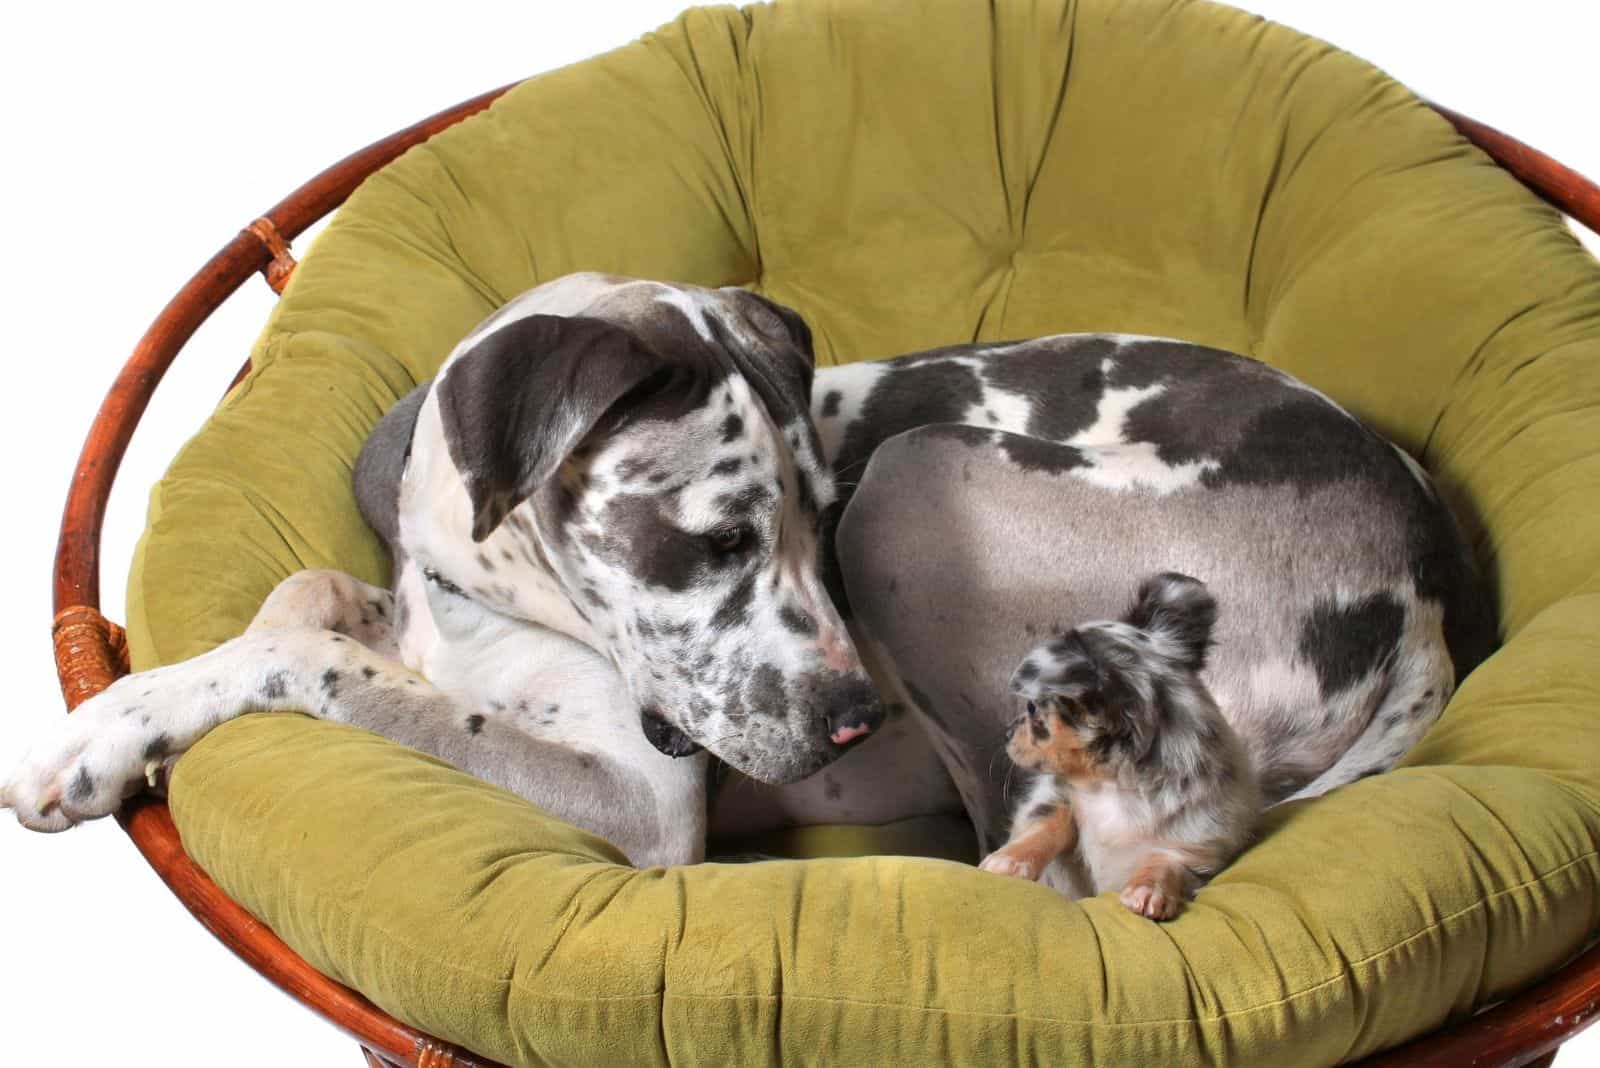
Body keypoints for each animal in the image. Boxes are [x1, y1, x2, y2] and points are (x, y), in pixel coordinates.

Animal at [985, 575, 1260, 920]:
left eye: (1032, 708)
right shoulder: (1056, 798)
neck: (1114, 787)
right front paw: (1010, 860)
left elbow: (1168, 860)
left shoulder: (1199, 844)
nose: (1007, 732)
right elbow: (1049, 824)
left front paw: (1149, 889)